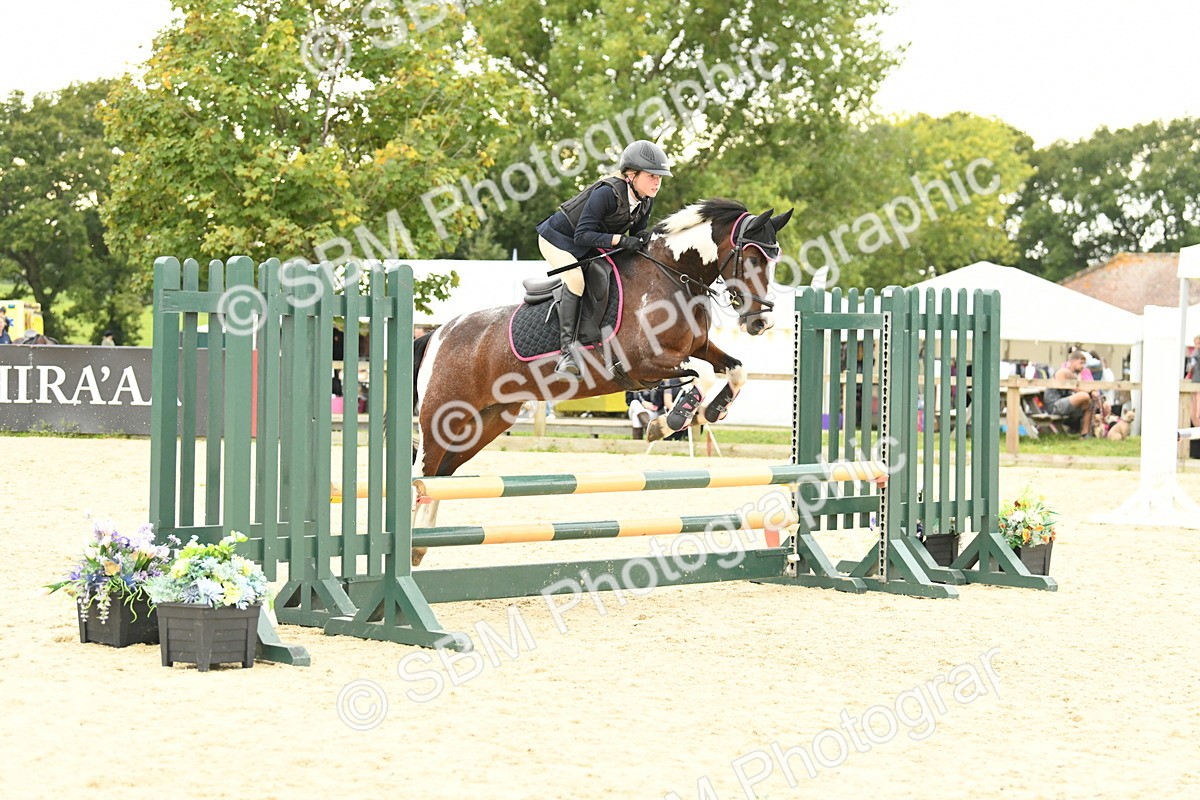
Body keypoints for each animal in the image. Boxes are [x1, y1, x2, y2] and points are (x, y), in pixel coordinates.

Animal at [411, 198, 792, 564]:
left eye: (774, 262)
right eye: (752, 258)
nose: (761, 323)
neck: (672, 277)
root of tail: (438, 334)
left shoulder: (697, 347)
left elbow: (734, 369)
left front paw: (710, 412)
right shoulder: (646, 364)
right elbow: (701, 376)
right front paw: (669, 421)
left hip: (485, 422)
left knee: (441, 475)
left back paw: (421, 546)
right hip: (442, 417)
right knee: (423, 471)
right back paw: (414, 545)